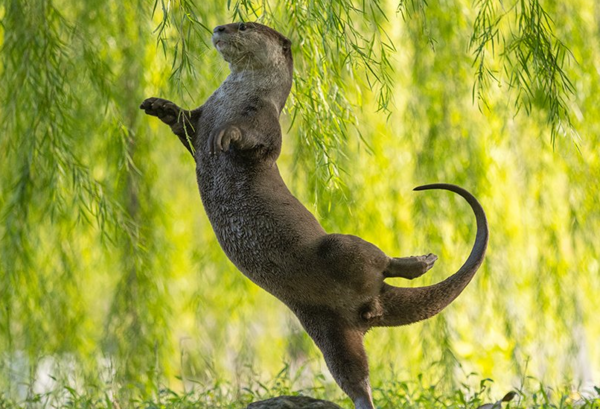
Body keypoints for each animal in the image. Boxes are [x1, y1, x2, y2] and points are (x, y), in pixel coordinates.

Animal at [141, 21, 488, 408]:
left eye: (243, 25)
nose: (218, 28)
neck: (233, 97)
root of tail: (375, 300)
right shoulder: (203, 115)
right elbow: (183, 124)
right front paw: (159, 105)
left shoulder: (264, 121)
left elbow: (254, 140)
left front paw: (227, 134)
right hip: (327, 328)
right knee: (354, 374)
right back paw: (363, 399)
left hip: (339, 248)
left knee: (378, 259)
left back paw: (421, 262)